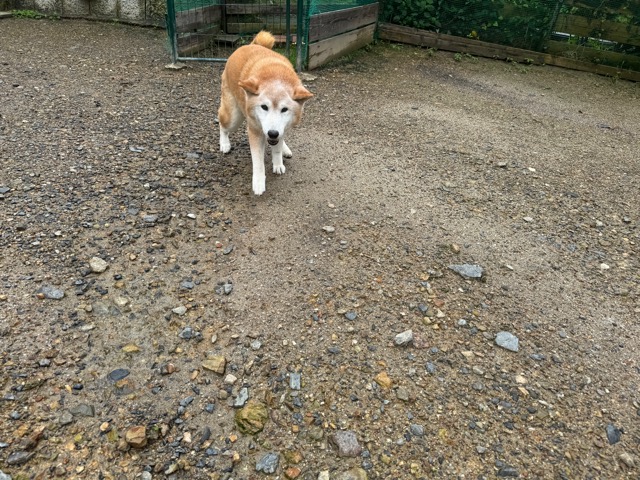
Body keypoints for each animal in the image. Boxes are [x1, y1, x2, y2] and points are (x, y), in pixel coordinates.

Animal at [218, 31, 314, 195]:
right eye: (264, 107)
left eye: (284, 109)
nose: (272, 133)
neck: (276, 77)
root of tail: (248, 45)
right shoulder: (255, 131)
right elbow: (258, 161)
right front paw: (258, 182)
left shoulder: (279, 129)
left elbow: (277, 148)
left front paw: (278, 162)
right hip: (234, 117)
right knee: (222, 124)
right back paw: (224, 143)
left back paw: (284, 148)